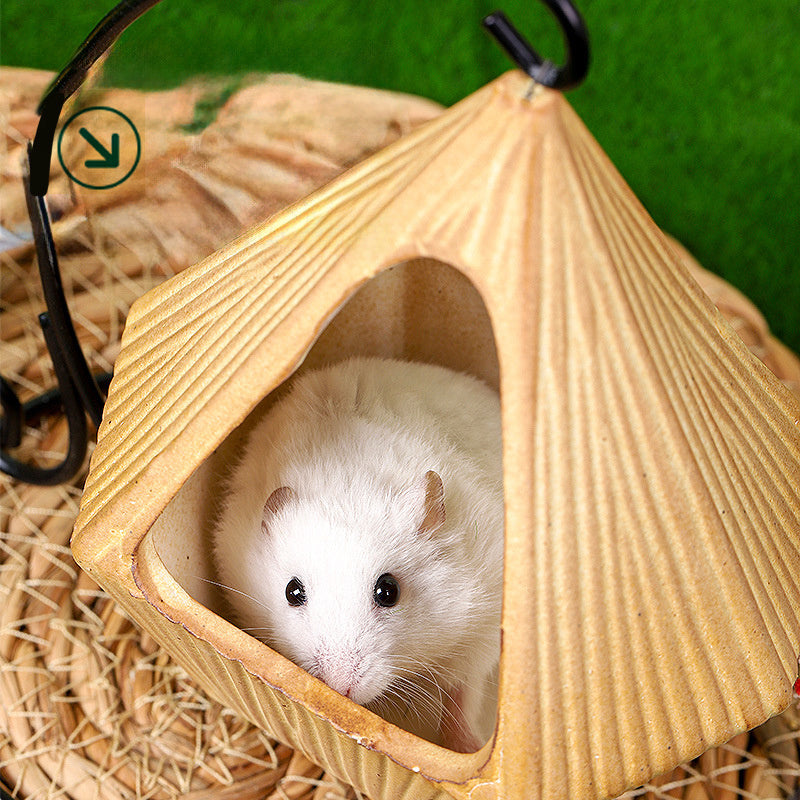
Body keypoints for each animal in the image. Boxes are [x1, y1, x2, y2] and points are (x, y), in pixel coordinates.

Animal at [211, 356, 503, 752]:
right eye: (292, 592)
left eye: (388, 591)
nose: (340, 688)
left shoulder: (482, 626)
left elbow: (464, 692)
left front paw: (467, 747)